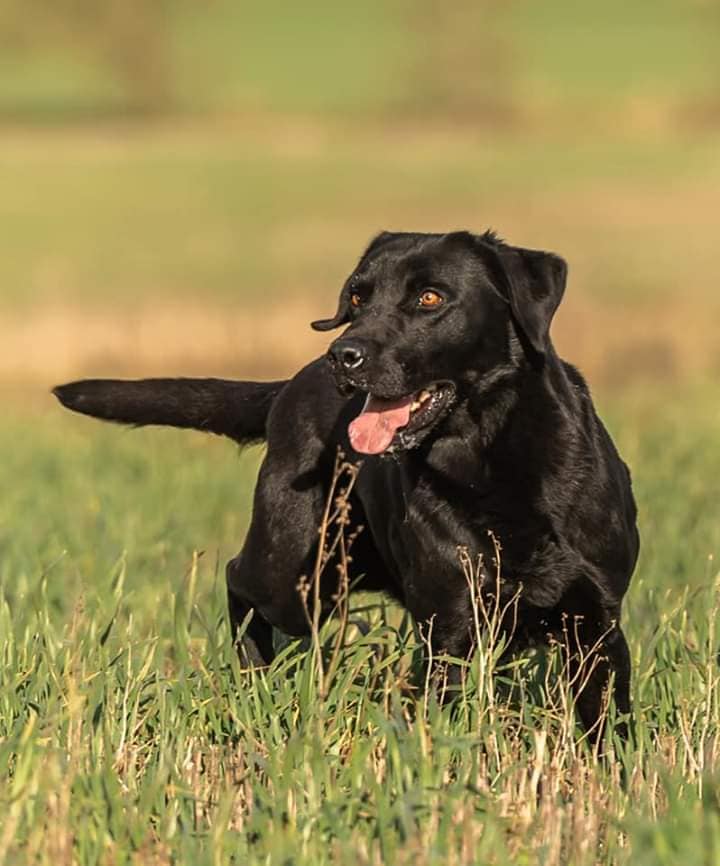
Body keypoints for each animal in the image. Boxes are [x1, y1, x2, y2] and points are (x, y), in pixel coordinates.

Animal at [53, 230, 640, 736]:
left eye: (430, 297)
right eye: (357, 296)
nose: (344, 355)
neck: (491, 463)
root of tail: (290, 385)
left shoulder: (597, 625)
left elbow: (606, 722)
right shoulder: (451, 627)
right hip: (297, 572)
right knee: (237, 578)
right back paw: (252, 675)